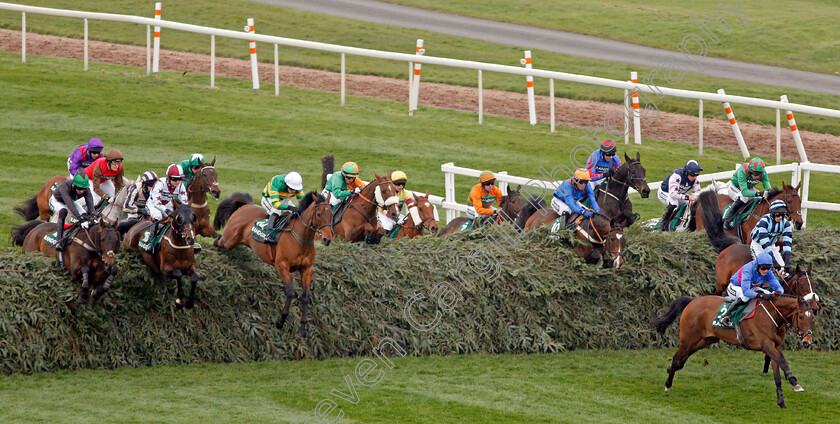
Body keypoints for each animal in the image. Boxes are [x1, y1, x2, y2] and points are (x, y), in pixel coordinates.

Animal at [212, 192, 334, 338]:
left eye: (332, 214)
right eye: (319, 214)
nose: (327, 239)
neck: (300, 238)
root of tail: (246, 205)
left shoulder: (307, 268)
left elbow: (306, 296)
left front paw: (302, 329)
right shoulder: (282, 266)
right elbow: (290, 292)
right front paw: (280, 321)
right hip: (229, 240)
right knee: (219, 240)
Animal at [656, 292, 812, 408]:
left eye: (812, 316)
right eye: (800, 316)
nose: (807, 342)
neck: (771, 314)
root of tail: (693, 301)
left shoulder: (775, 346)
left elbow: (777, 374)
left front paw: (781, 401)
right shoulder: (766, 345)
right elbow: (783, 362)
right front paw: (794, 382)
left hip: (703, 340)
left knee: (680, 361)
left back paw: (669, 370)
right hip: (688, 340)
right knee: (677, 359)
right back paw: (668, 385)